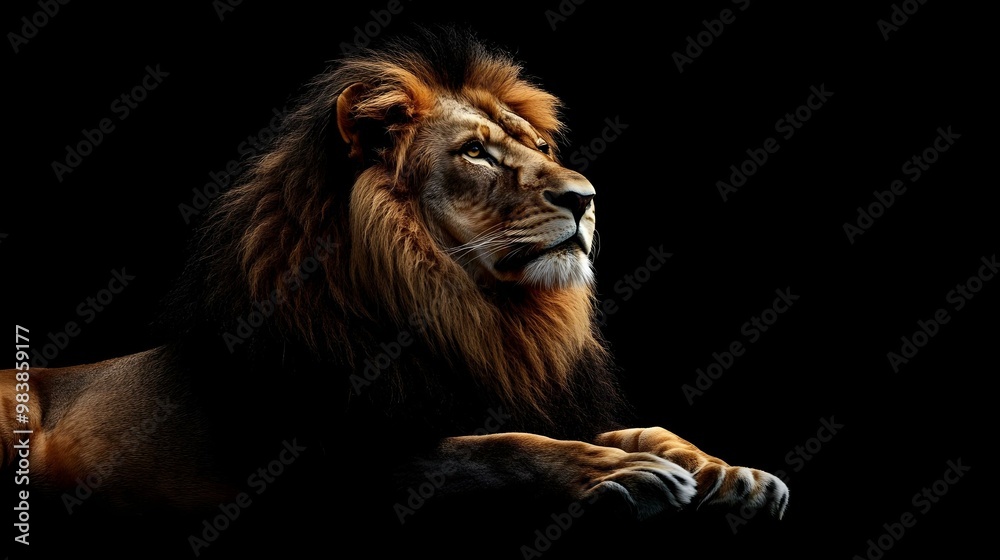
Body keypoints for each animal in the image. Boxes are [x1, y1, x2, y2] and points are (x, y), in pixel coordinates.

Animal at [2, 26, 787, 556]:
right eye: (475, 153)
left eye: (538, 147)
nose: (586, 198)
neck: (472, 314)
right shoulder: (330, 465)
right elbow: (493, 447)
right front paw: (624, 472)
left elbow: (632, 428)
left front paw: (729, 471)